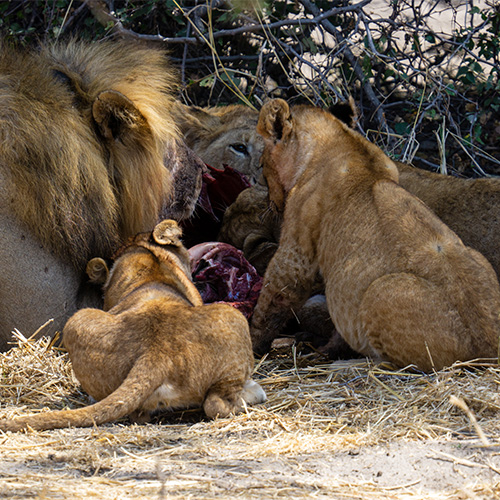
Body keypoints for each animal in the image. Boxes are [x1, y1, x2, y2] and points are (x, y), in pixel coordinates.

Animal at [0, 221, 266, 432]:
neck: (148, 262)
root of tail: (156, 353)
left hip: (77, 321)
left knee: (137, 413)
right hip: (233, 316)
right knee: (216, 404)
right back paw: (255, 393)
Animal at [252, 98, 500, 372]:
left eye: (261, 166)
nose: (270, 203)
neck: (342, 141)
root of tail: (489, 346)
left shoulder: (297, 250)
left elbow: (274, 297)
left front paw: (253, 343)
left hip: (380, 290)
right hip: (478, 257)